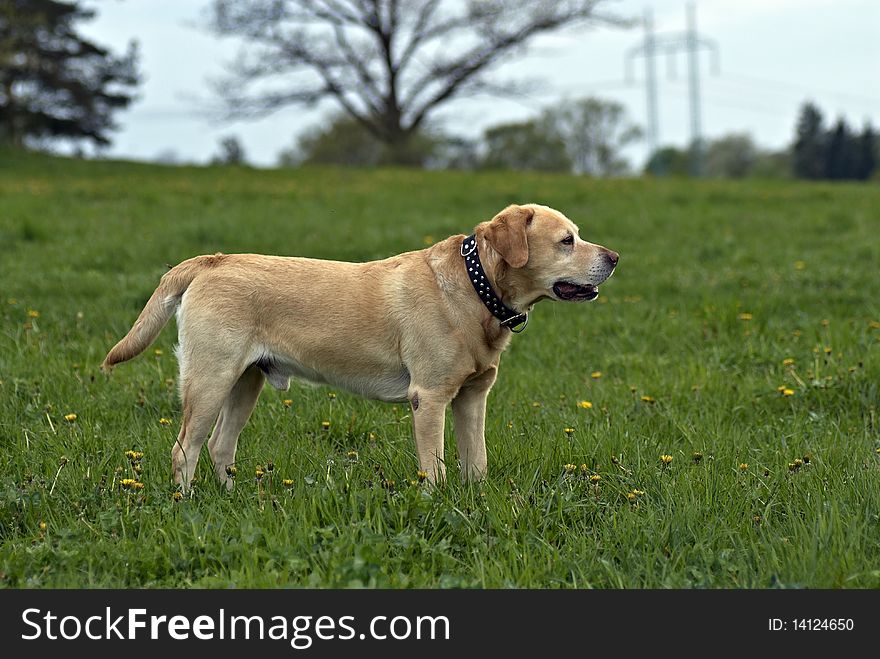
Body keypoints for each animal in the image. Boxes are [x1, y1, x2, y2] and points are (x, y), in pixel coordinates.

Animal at [103, 205, 620, 490]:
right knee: (184, 450)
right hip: (210, 379)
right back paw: (185, 506)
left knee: (218, 447)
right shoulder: (429, 398)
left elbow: (477, 462)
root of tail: (211, 260)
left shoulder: (474, 397)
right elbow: (435, 469)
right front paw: (437, 504)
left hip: (245, 382)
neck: (478, 290)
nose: (615, 257)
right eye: (567, 240)